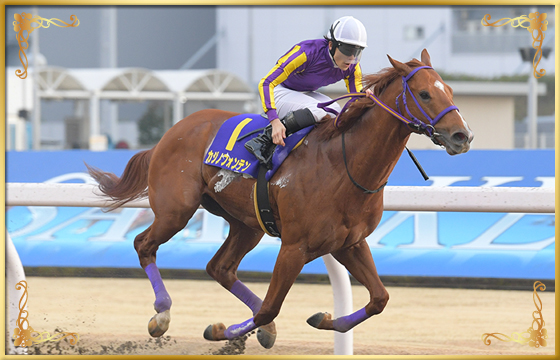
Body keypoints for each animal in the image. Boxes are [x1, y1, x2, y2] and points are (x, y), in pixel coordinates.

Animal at [87, 50, 472, 348]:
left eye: (450, 90)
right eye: (424, 94)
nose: (462, 136)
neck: (344, 164)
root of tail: (172, 132)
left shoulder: (349, 243)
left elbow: (379, 298)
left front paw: (324, 319)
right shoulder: (294, 247)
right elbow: (269, 307)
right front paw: (222, 330)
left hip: (247, 224)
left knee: (220, 267)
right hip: (175, 210)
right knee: (144, 244)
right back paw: (162, 313)